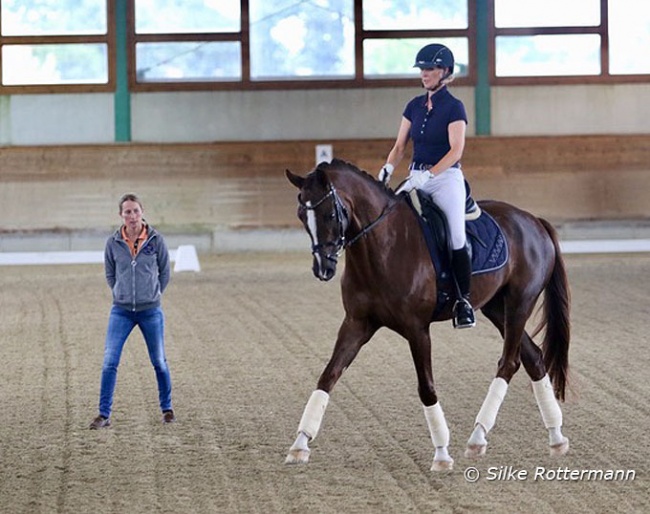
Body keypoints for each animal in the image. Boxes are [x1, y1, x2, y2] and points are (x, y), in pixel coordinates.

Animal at [284, 158, 568, 470]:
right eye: (301, 214)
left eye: (331, 213)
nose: (323, 269)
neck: (383, 246)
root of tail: (534, 221)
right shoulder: (356, 324)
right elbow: (328, 377)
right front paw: (299, 444)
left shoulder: (417, 329)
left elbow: (426, 388)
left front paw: (442, 453)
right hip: (497, 308)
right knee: (533, 358)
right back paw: (555, 437)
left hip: (519, 303)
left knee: (509, 362)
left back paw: (478, 437)